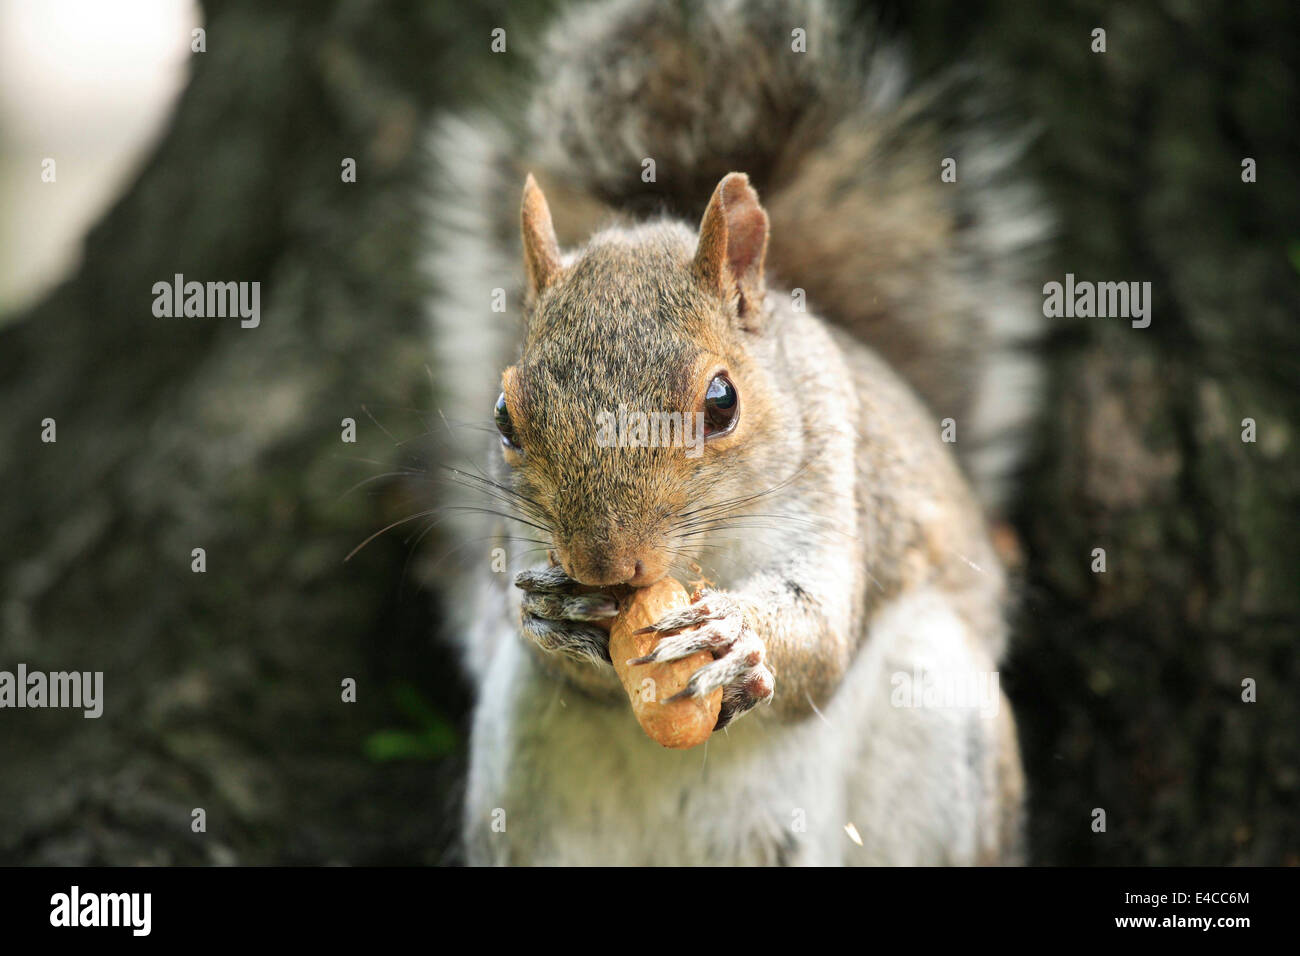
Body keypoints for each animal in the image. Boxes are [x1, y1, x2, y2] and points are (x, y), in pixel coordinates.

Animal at [423, 0, 1045, 868]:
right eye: (505, 417)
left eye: (722, 402)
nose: (603, 565)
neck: (704, 554)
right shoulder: (520, 541)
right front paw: (556, 620)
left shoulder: (835, 477)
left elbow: (820, 642)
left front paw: (738, 632)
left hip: (938, 721)